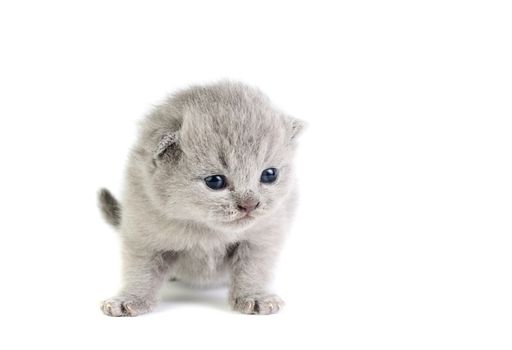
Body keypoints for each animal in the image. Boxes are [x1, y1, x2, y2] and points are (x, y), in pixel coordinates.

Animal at [98, 80, 302, 316]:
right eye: (215, 181)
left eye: (269, 175)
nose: (250, 204)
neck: (207, 231)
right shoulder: (142, 235)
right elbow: (140, 272)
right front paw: (130, 299)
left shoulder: (263, 236)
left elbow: (253, 269)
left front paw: (254, 296)